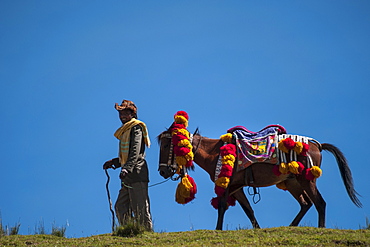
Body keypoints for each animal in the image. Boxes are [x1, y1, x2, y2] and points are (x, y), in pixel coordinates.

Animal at [156, 123, 362, 230]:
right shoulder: (237, 188)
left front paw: (218, 230)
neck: (215, 152)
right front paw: (258, 229)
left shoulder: (227, 185)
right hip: (293, 182)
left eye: (166, 145)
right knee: (306, 203)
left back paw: (319, 228)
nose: (163, 171)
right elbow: (249, 211)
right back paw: (291, 226)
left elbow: (221, 206)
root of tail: (317, 145)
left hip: (306, 179)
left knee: (319, 203)